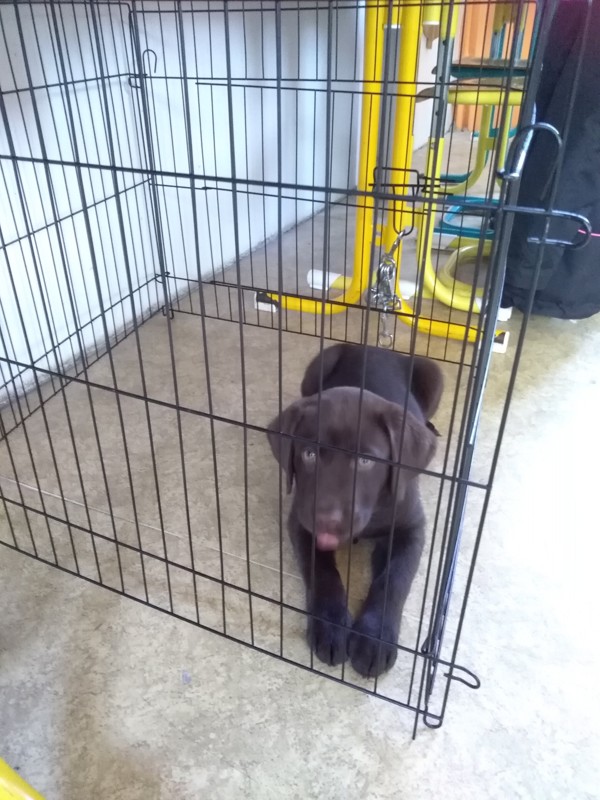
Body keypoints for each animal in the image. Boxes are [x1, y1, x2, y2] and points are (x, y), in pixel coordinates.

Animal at [267, 343, 443, 678]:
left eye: (366, 461)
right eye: (309, 454)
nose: (328, 521)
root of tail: (376, 346)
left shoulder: (412, 528)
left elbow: (394, 580)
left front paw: (374, 641)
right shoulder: (301, 521)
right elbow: (323, 572)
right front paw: (331, 629)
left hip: (434, 374)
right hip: (318, 365)